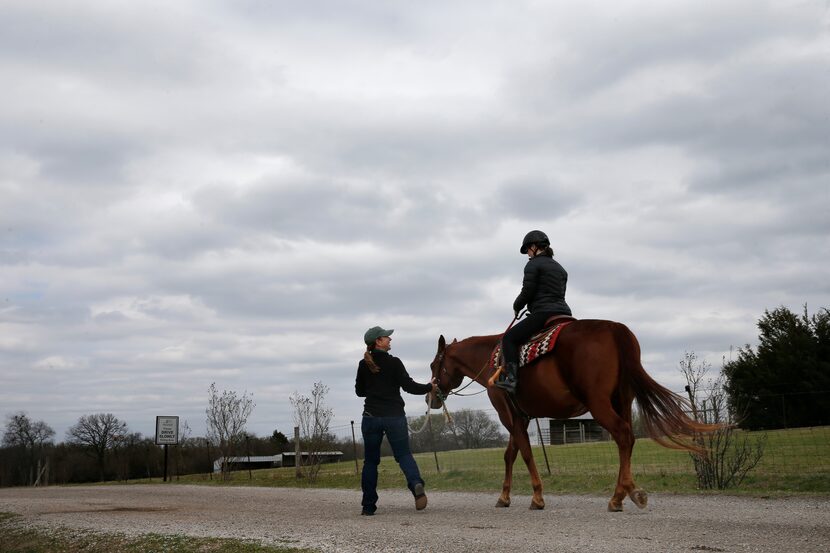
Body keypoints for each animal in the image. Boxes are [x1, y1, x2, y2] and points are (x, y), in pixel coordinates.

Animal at [428, 322, 716, 512]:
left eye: (433, 365)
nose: (431, 398)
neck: (490, 361)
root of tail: (616, 329)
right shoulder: (520, 418)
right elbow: (510, 454)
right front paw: (504, 497)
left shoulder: (507, 415)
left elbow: (525, 453)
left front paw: (537, 496)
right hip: (623, 400)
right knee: (628, 439)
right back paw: (628, 492)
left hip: (599, 404)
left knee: (623, 435)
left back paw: (619, 496)